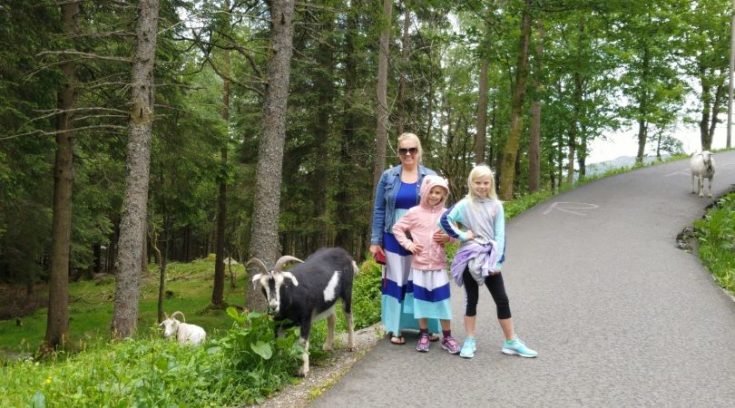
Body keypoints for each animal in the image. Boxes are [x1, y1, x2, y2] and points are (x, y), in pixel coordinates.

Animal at [247, 245, 360, 376]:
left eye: (283, 284)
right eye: (263, 288)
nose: (274, 306)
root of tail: (345, 254)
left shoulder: (306, 318)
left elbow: (302, 342)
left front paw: (303, 370)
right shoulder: (278, 323)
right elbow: (278, 343)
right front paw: (279, 366)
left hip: (347, 292)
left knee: (349, 316)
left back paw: (351, 345)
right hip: (328, 301)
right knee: (332, 317)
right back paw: (327, 346)